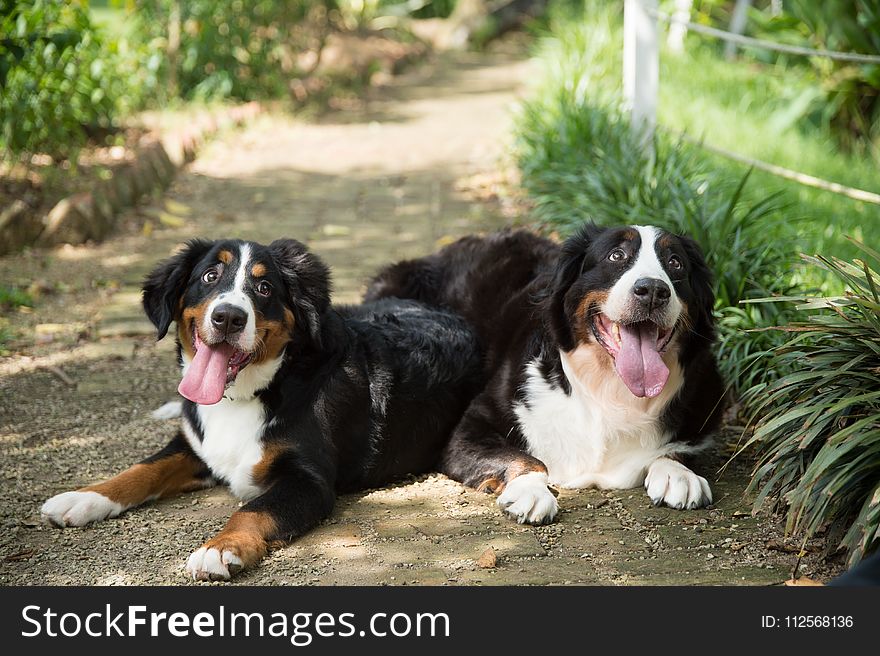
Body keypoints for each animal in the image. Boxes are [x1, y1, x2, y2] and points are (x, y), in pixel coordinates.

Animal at [39, 237, 482, 580]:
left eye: (265, 287)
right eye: (210, 276)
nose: (228, 317)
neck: (245, 396)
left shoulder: (307, 479)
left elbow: (252, 510)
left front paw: (221, 548)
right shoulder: (194, 445)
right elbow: (141, 469)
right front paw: (85, 497)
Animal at [368, 223, 724, 524]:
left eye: (675, 263)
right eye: (616, 256)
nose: (652, 289)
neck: (609, 393)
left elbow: (679, 449)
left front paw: (678, 473)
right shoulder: (471, 426)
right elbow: (531, 460)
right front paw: (530, 491)